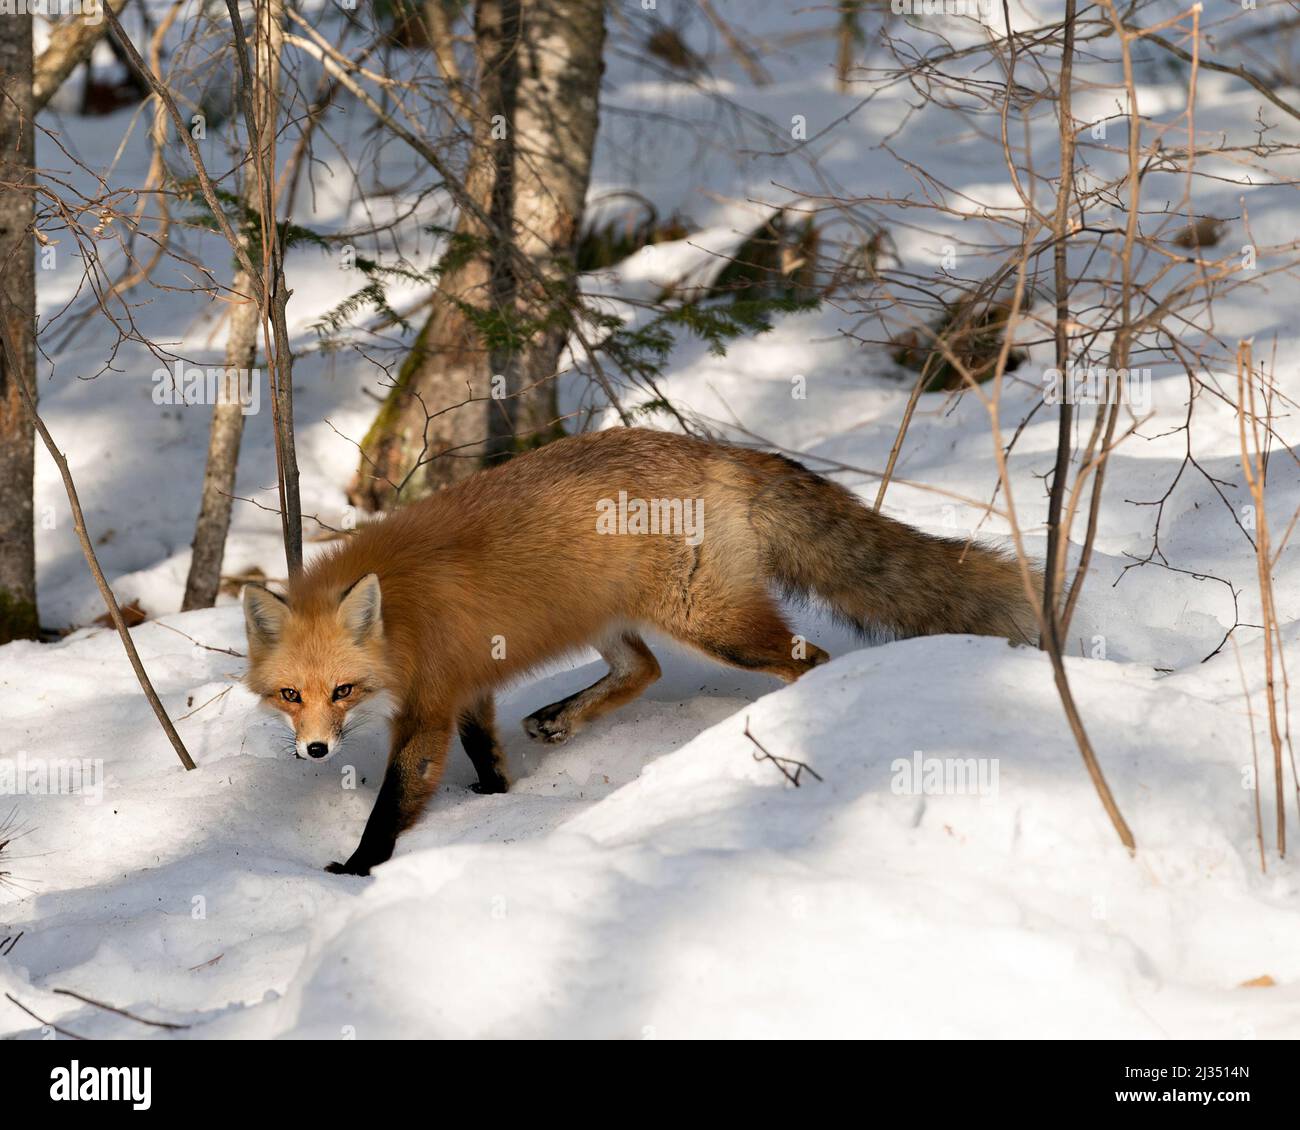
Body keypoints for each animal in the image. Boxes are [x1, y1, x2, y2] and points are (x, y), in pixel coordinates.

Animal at [243, 427, 1037, 875]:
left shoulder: (432, 703)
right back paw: (560, 717)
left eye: (343, 691)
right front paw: (495, 800)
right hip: (608, 612)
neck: (402, 621)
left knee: (806, 661)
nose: (314, 750)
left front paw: (357, 868)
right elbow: (487, 753)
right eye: (291, 695)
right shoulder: (468, 684)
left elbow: (395, 800)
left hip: (713, 624)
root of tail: (719, 450)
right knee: (643, 668)